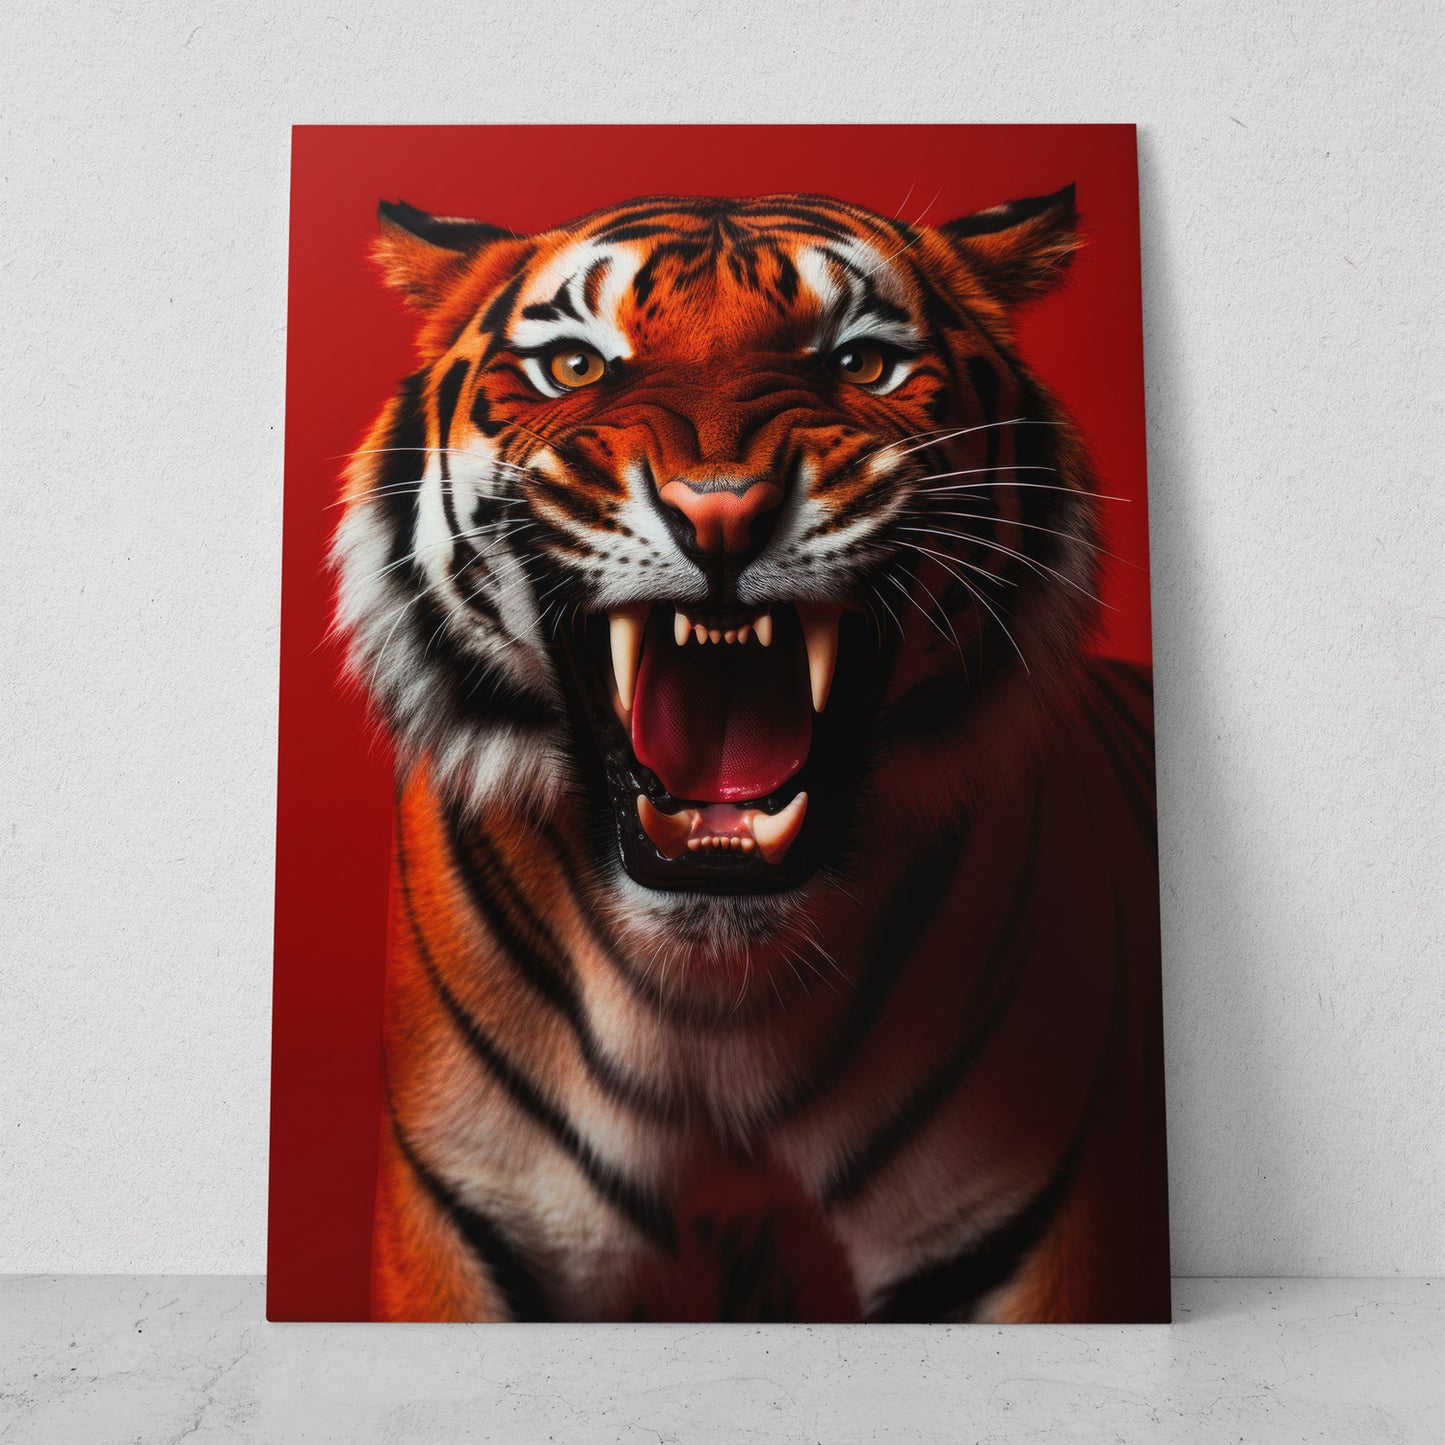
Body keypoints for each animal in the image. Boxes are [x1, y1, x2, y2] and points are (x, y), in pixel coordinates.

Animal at [331, 185, 1170, 1323]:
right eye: (576, 365)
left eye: (861, 362)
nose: (720, 510)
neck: (710, 994)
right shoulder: (463, 1224)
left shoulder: (1021, 1240)